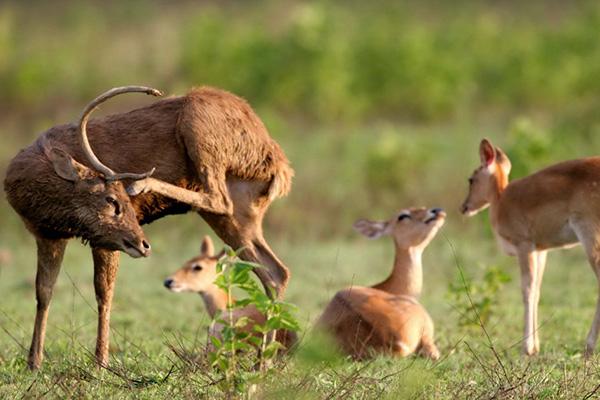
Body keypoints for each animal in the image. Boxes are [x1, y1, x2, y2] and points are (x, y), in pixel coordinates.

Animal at [462, 138, 600, 356]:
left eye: (471, 179)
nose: (464, 207)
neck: (501, 201)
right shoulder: (540, 249)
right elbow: (536, 291)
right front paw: (535, 347)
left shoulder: (524, 244)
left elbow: (526, 290)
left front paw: (526, 348)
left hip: (588, 233)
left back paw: (589, 346)